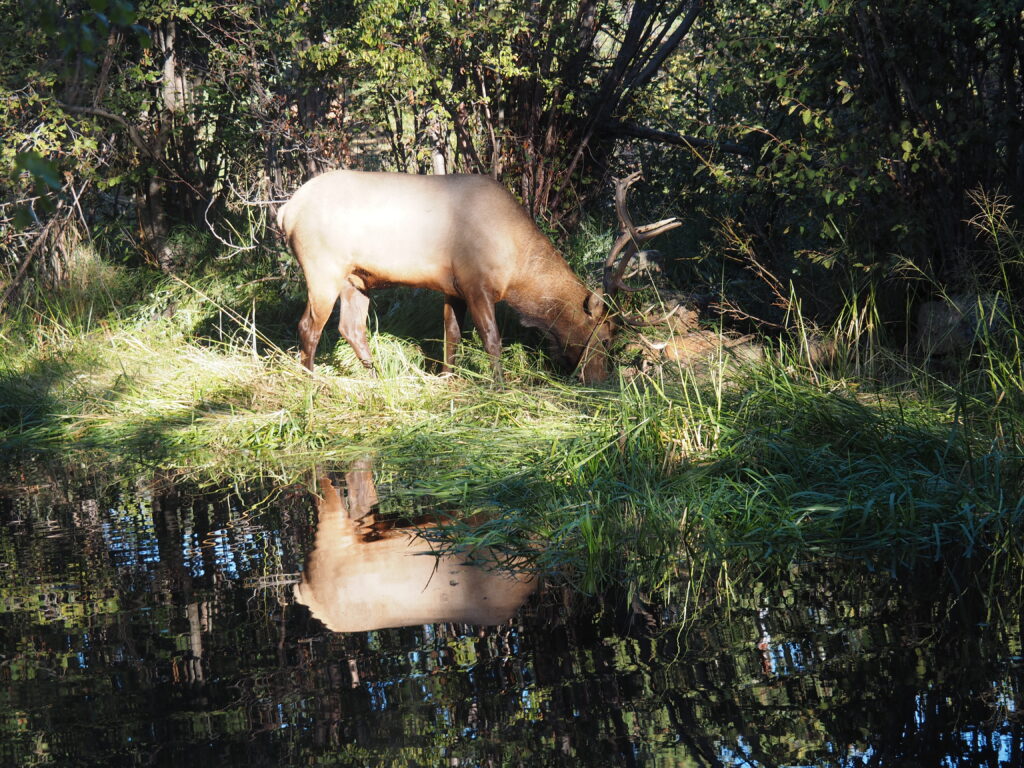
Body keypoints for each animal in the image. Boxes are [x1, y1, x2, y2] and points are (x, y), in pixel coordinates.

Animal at [276, 169, 678, 384]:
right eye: (607, 338)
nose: (600, 380)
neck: (516, 268)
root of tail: (285, 211)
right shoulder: (476, 282)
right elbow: (491, 339)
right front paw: (500, 386)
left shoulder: (451, 287)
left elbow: (452, 335)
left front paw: (447, 377)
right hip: (321, 267)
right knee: (308, 327)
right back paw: (310, 381)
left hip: (356, 279)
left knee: (351, 328)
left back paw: (377, 378)